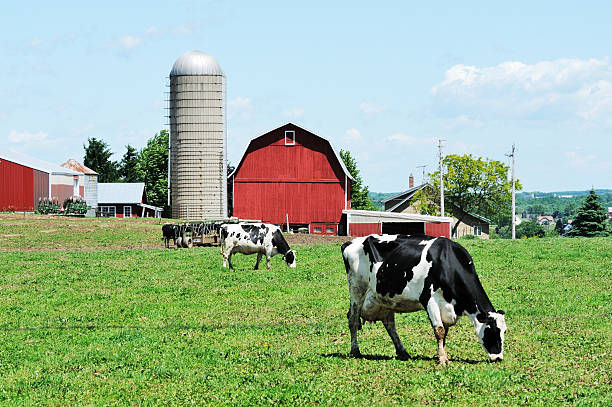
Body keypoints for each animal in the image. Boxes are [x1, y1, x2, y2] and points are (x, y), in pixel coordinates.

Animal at [340, 234, 506, 364]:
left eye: (504, 330)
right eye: (492, 330)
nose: (498, 358)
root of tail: (351, 242)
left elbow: (444, 332)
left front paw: (443, 355)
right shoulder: (429, 299)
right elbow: (439, 330)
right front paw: (443, 360)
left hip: (384, 298)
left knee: (390, 325)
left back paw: (402, 352)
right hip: (356, 289)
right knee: (353, 320)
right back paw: (355, 351)